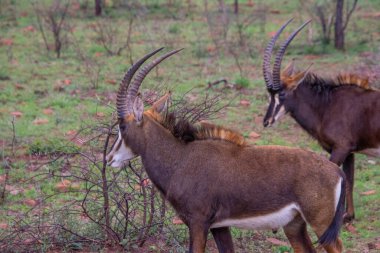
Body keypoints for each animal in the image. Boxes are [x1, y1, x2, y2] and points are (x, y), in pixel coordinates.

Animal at [107, 48, 348, 252]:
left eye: (122, 126)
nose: (110, 158)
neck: (181, 158)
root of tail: (336, 171)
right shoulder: (219, 226)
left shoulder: (198, 222)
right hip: (294, 225)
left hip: (321, 223)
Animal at [262, 18, 380, 222]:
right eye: (269, 94)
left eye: (282, 94)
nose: (266, 121)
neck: (327, 105)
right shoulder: (349, 151)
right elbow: (349, 179)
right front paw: (349, 216)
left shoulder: (340, 149)